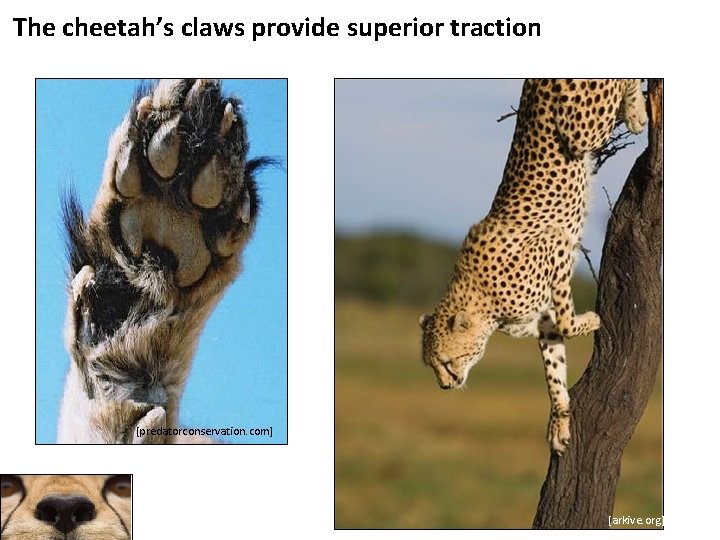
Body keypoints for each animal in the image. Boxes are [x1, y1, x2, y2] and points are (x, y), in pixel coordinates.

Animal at [419, 79, 647, 454]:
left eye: (447, 362)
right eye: (431, 365)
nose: (445, 385)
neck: (482, 302)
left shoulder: (555, 244)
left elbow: (568, 320)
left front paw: (592, 319)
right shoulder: (543, 325)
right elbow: (555, 372)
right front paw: (559, 422)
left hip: (581, 131)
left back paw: (635, 108)